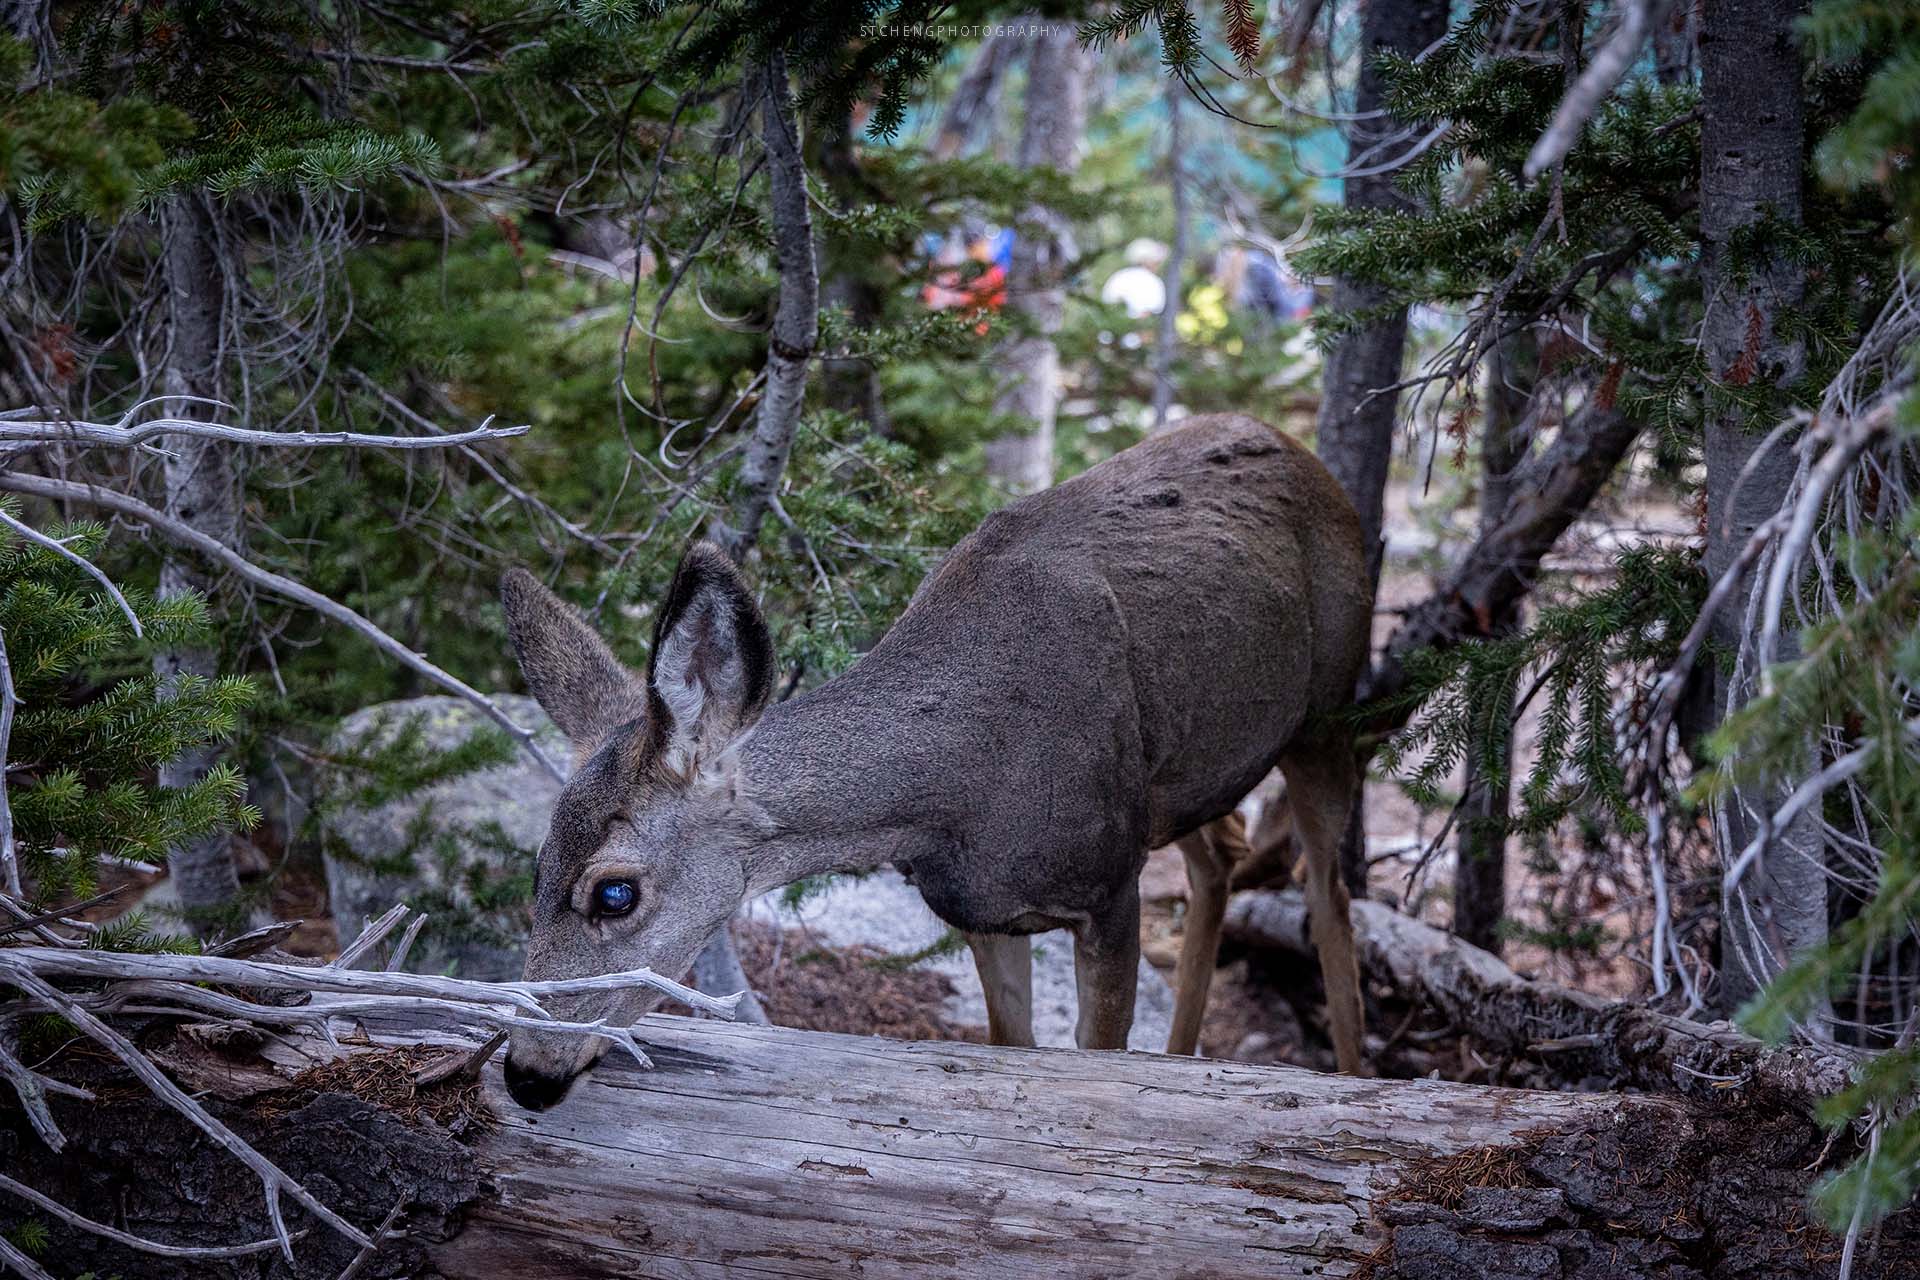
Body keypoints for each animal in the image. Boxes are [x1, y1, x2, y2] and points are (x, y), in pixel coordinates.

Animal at [497, 413, 1371, 1110]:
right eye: (534, 870)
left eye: (614, 892)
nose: (525, 1074)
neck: (955, 789)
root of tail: (1303, 452)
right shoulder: (983, 913)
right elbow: (1010, 1042)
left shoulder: (1108, 888)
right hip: (1185, 771)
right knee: (1220, 859)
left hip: (1329, 712)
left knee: (1328, 894)